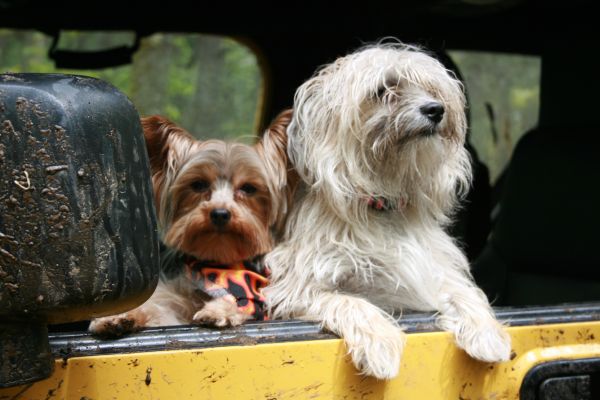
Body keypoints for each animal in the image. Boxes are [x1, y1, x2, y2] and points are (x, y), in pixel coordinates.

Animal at [264, 42, 512, 380]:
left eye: (431, 89)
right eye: (384, 90)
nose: (436, 109)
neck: (386, 203)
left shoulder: (429, 272)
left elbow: (464, 291)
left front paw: (487, 333)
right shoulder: (296, 286)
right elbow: (351, 302)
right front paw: (380, 342)